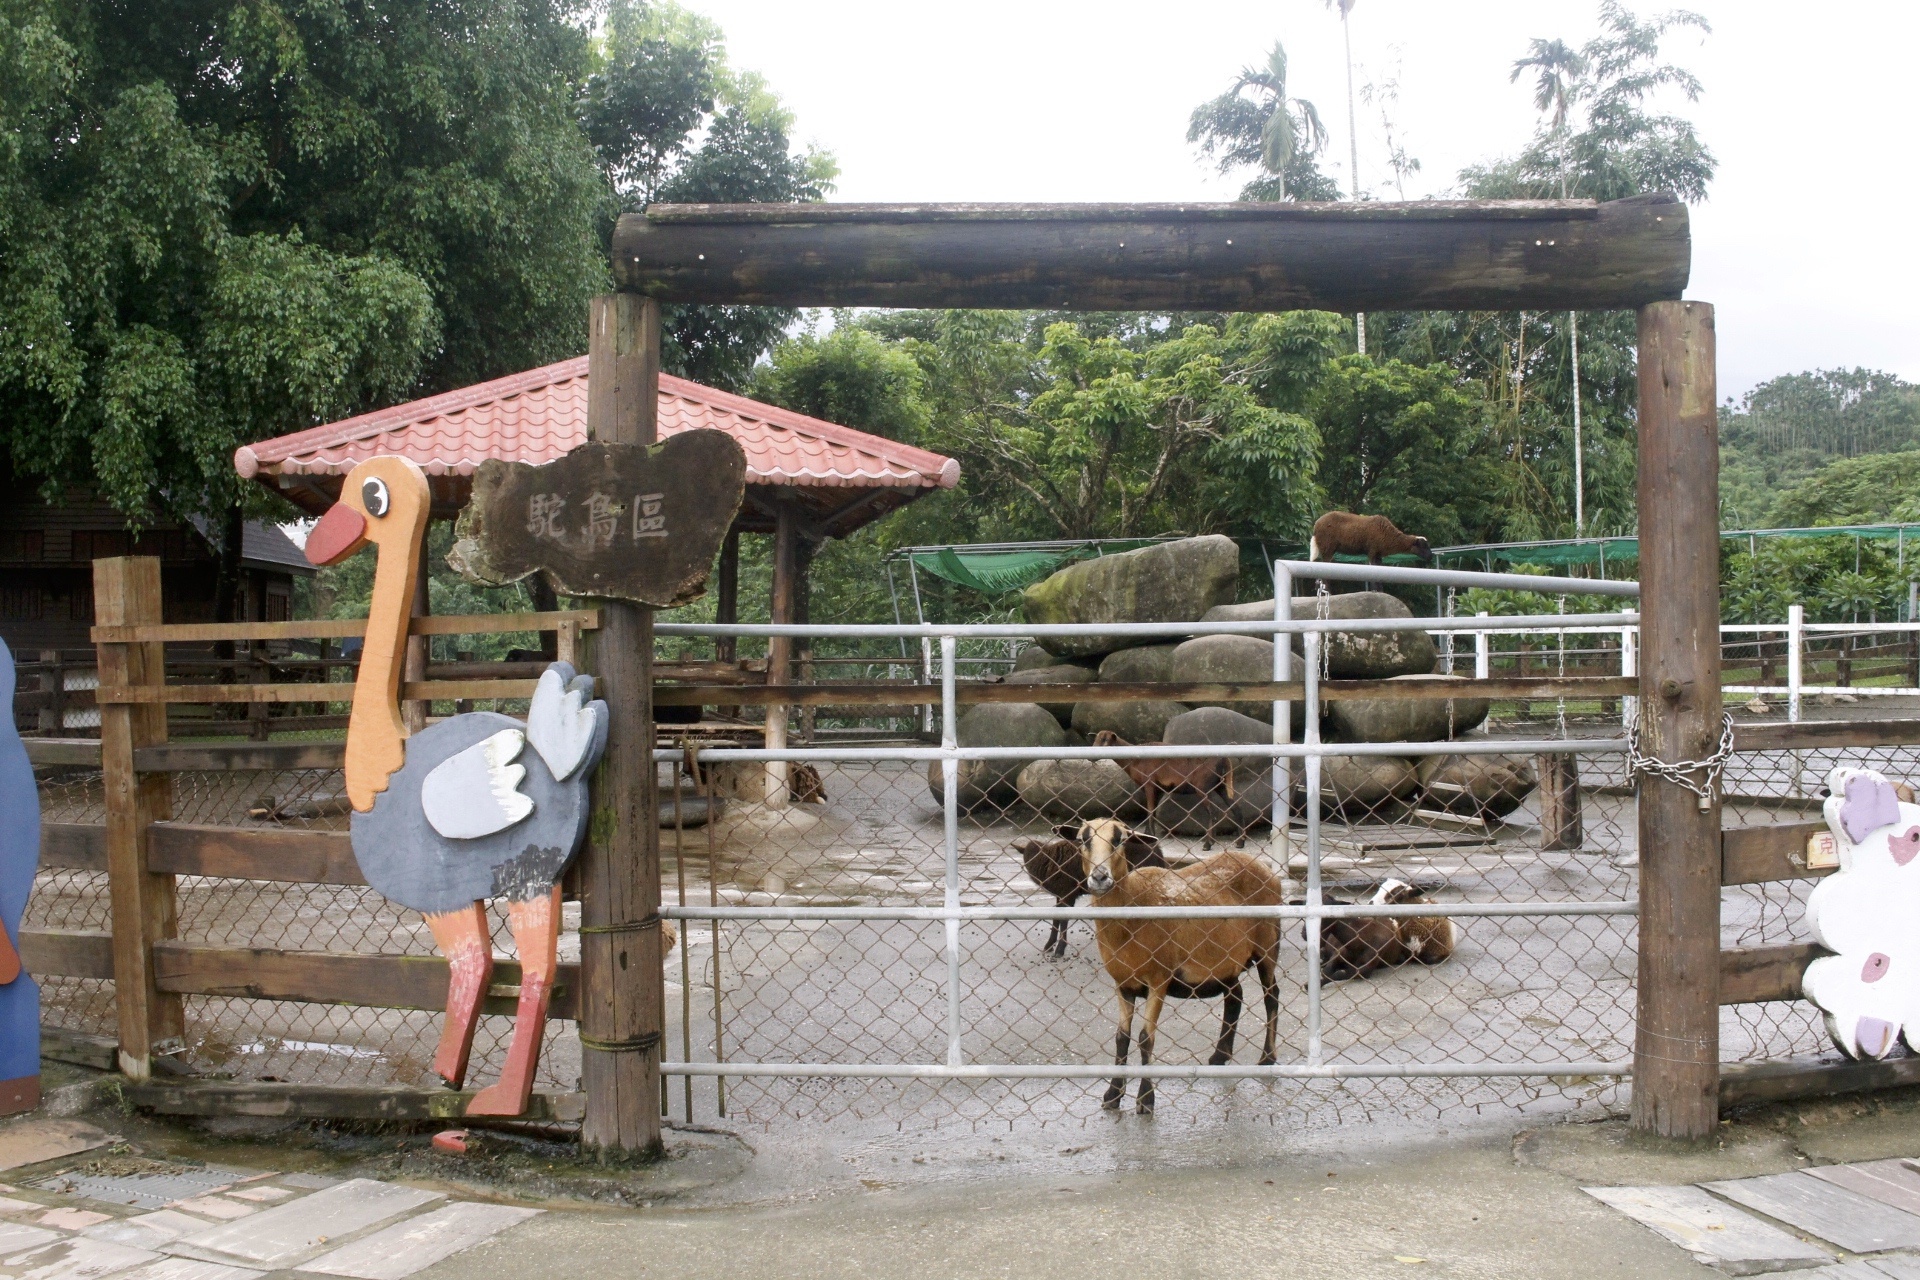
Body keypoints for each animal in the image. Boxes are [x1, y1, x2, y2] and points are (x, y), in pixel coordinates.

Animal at [1006, 832, 1167, 959]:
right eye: (1026, 857)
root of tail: (1157, 851)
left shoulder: (1067, 893)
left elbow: (1063, 920)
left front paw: (1059, 949)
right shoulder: (1060, 894)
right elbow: (1056, 917)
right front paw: (1049, 945)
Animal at [1067, 821, 1290, 1113]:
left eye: (1120, 839)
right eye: (1083, 839)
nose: (1100, 877)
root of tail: (1265, 868)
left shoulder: (1158, 979)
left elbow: (1145, 1037)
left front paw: (1145, 1100)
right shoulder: (1122, 983)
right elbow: (1121, 1037)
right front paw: (1113, 1095)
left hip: (1268, 945)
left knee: (1271, 995)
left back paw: (1267, 1058)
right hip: (1225, 958)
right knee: (1235, 997)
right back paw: (1219, 1056)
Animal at [1098, 729, 1244, 852]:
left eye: (1105, 740)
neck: (1134, 760)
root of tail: (1224, 759)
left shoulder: (1149, 784)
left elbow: (1149, 810)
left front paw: (1150, 835)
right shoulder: (1158, 789)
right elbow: (1153, 811)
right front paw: (1148, 835)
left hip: (1203, 787)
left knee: (1214, 813)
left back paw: (1208, 844)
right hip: (1221, 786)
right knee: (1236, 809)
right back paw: (1240, 842)